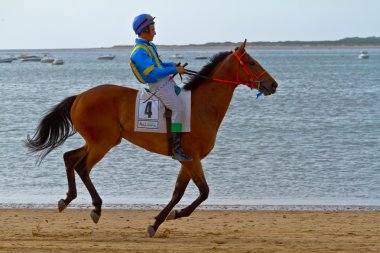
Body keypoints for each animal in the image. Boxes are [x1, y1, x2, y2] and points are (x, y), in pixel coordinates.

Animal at [26, 40, 276, 237]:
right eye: (251, 63)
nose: (273, 84)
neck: (202, 106)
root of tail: (79, 97)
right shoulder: (191, 158)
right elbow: (204, 191)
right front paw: (176, 215)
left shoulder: (187, 160)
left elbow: (178, 192)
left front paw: (158, 222)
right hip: (102, 143)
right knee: (82, 167)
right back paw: (96, 208)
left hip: (99, 141)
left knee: (69, 158)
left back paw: (66, 199)